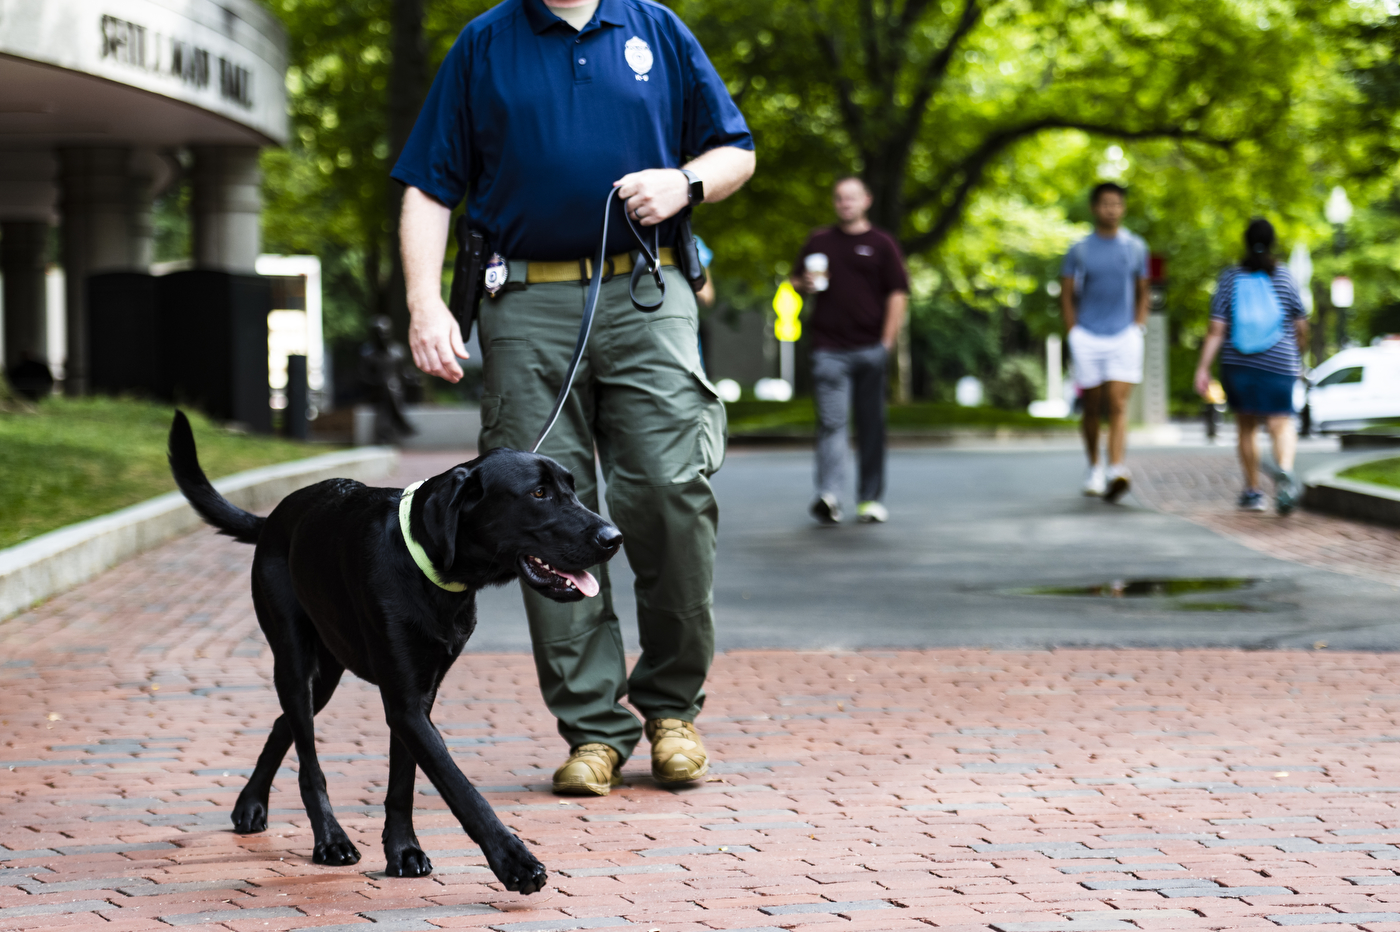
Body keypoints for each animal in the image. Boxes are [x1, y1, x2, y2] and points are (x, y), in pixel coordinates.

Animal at [166, 411, 621, 890]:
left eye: (572, 488)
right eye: (538, 493)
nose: (615, 537)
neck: (431, 568)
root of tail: (275, 515)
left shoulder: (418, 697)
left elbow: (403, 782)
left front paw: (403, 850)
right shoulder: (404, 704)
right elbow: (461, 788)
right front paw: (514, 861)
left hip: (325, 674)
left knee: (281, 724)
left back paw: (251, 803)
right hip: (292, 660)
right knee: (308, 762)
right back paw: (329, 839)